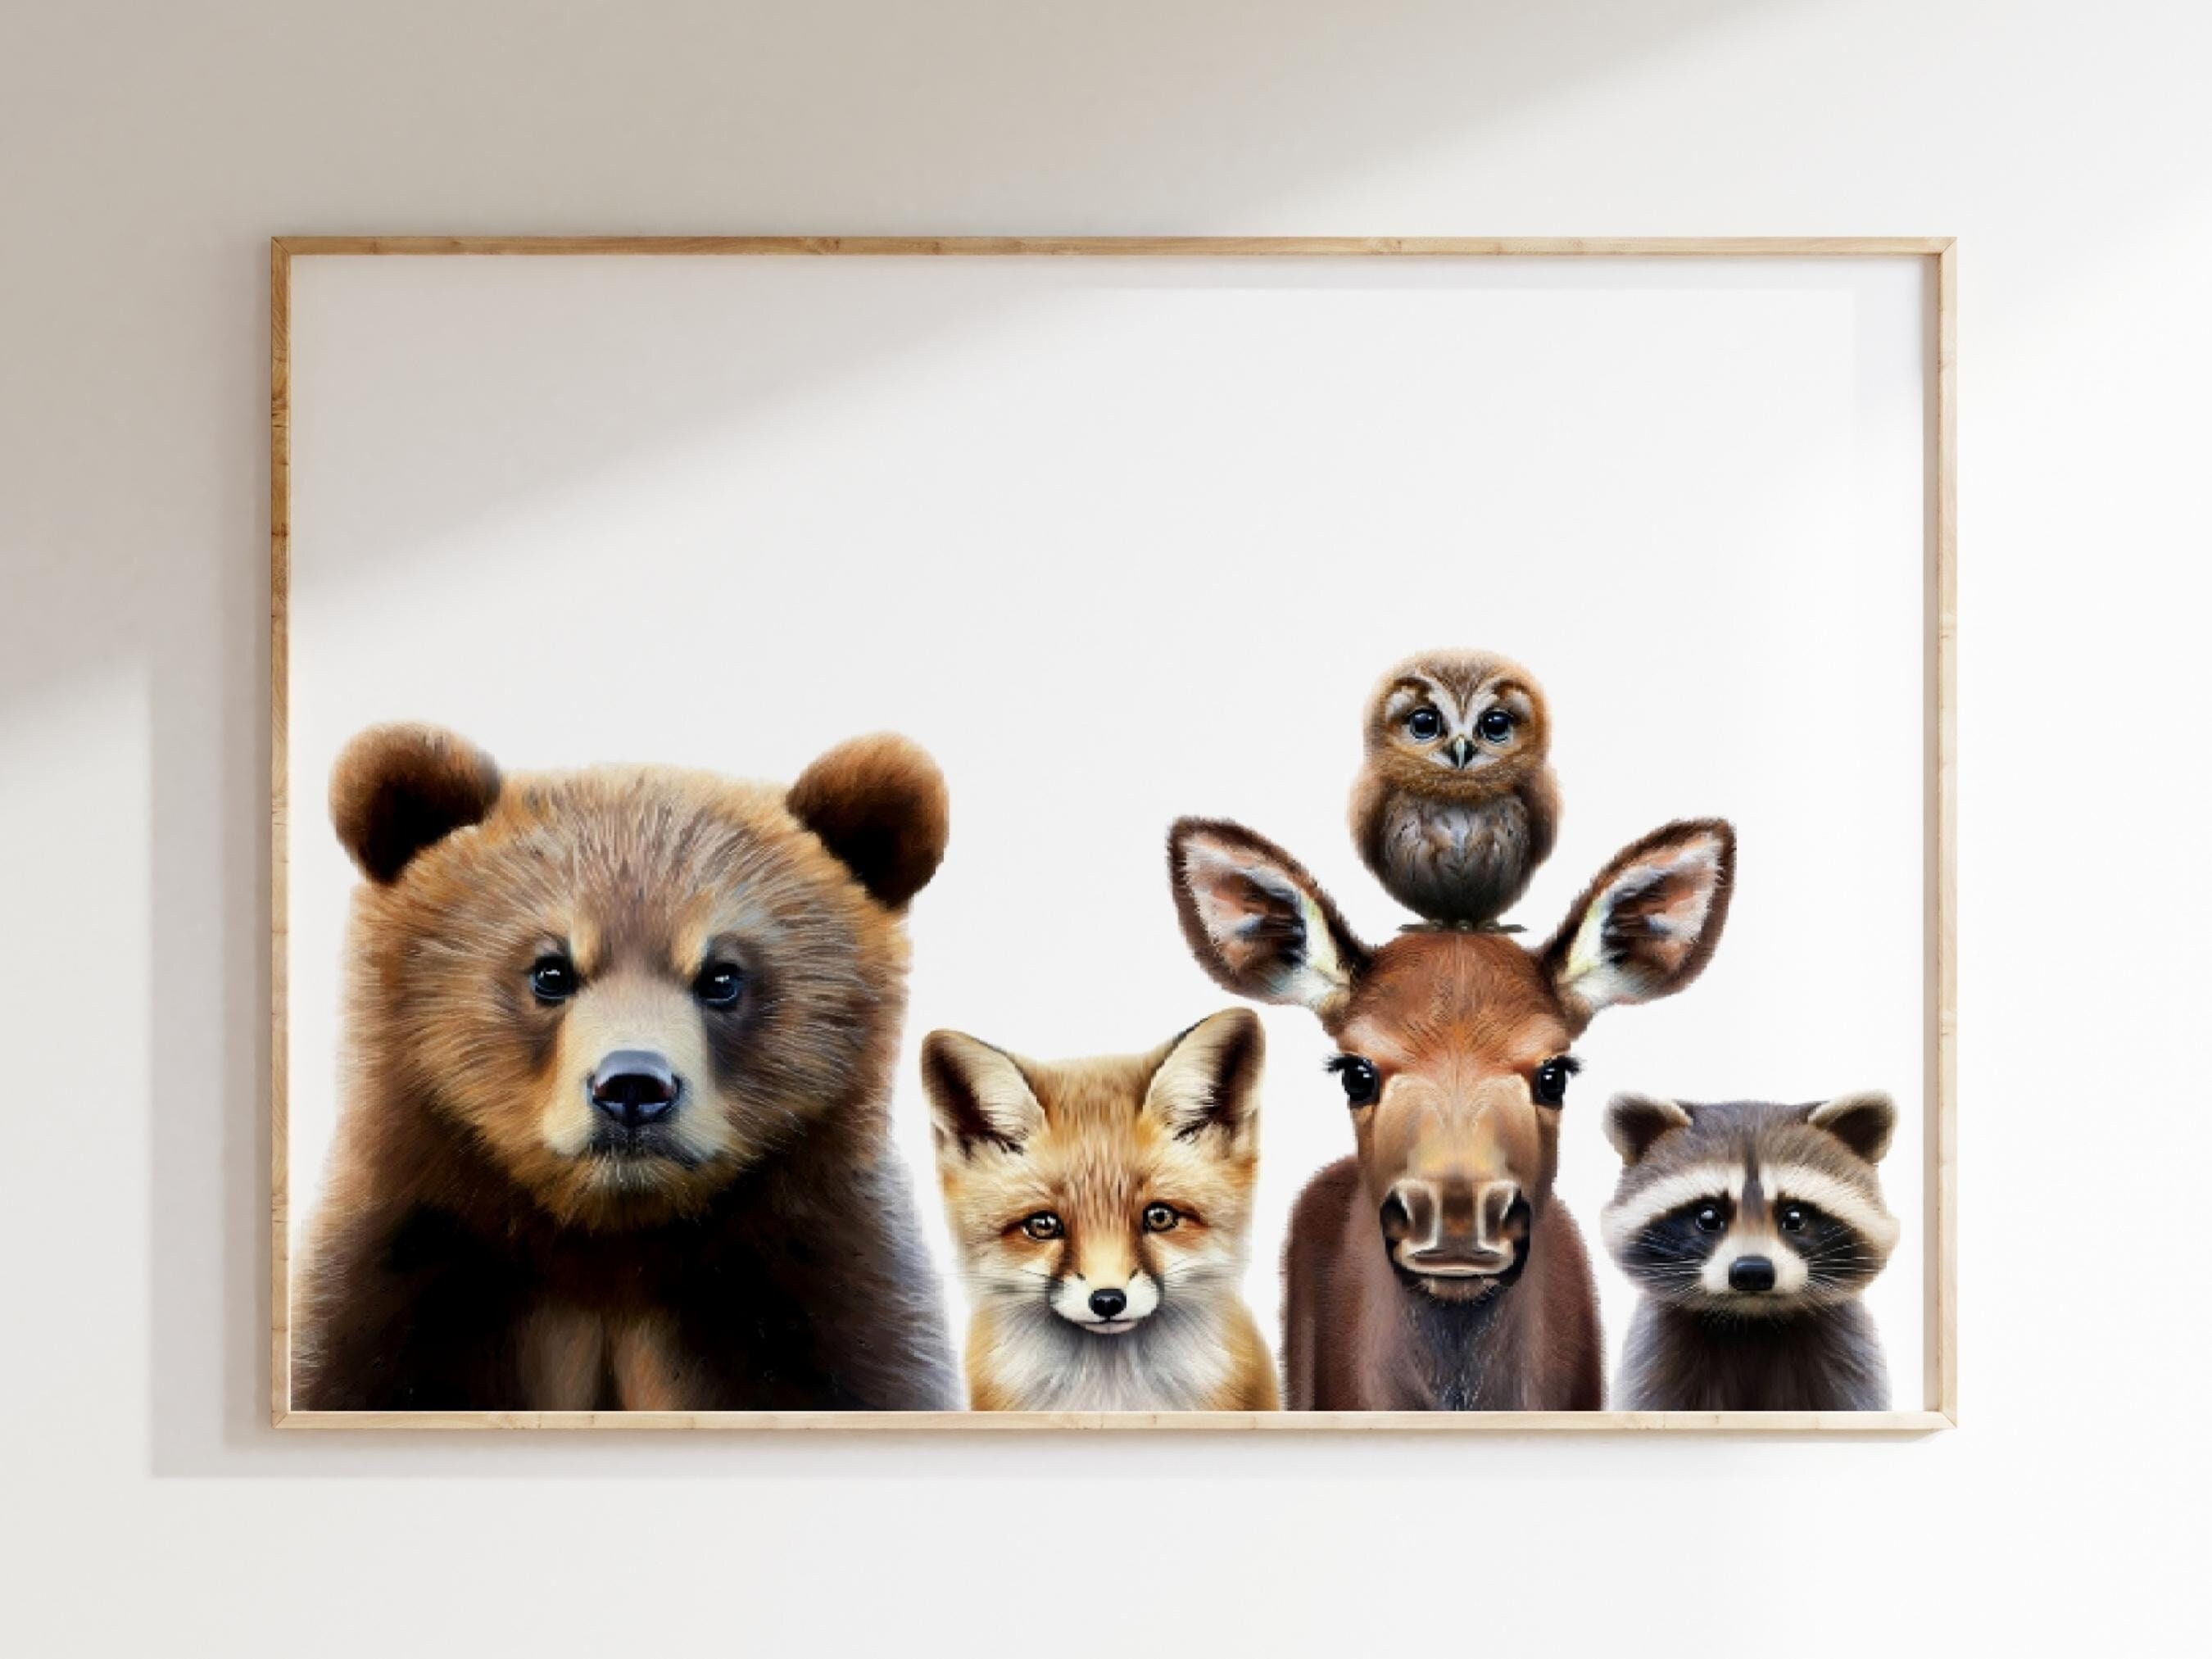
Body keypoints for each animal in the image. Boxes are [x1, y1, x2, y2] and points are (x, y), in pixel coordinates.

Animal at [290, 723, 961, 1412]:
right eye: (551, 970)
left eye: (722, 976)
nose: (634, 1086)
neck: (612, 1251)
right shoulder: (407, 1289)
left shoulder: (822, 1303)